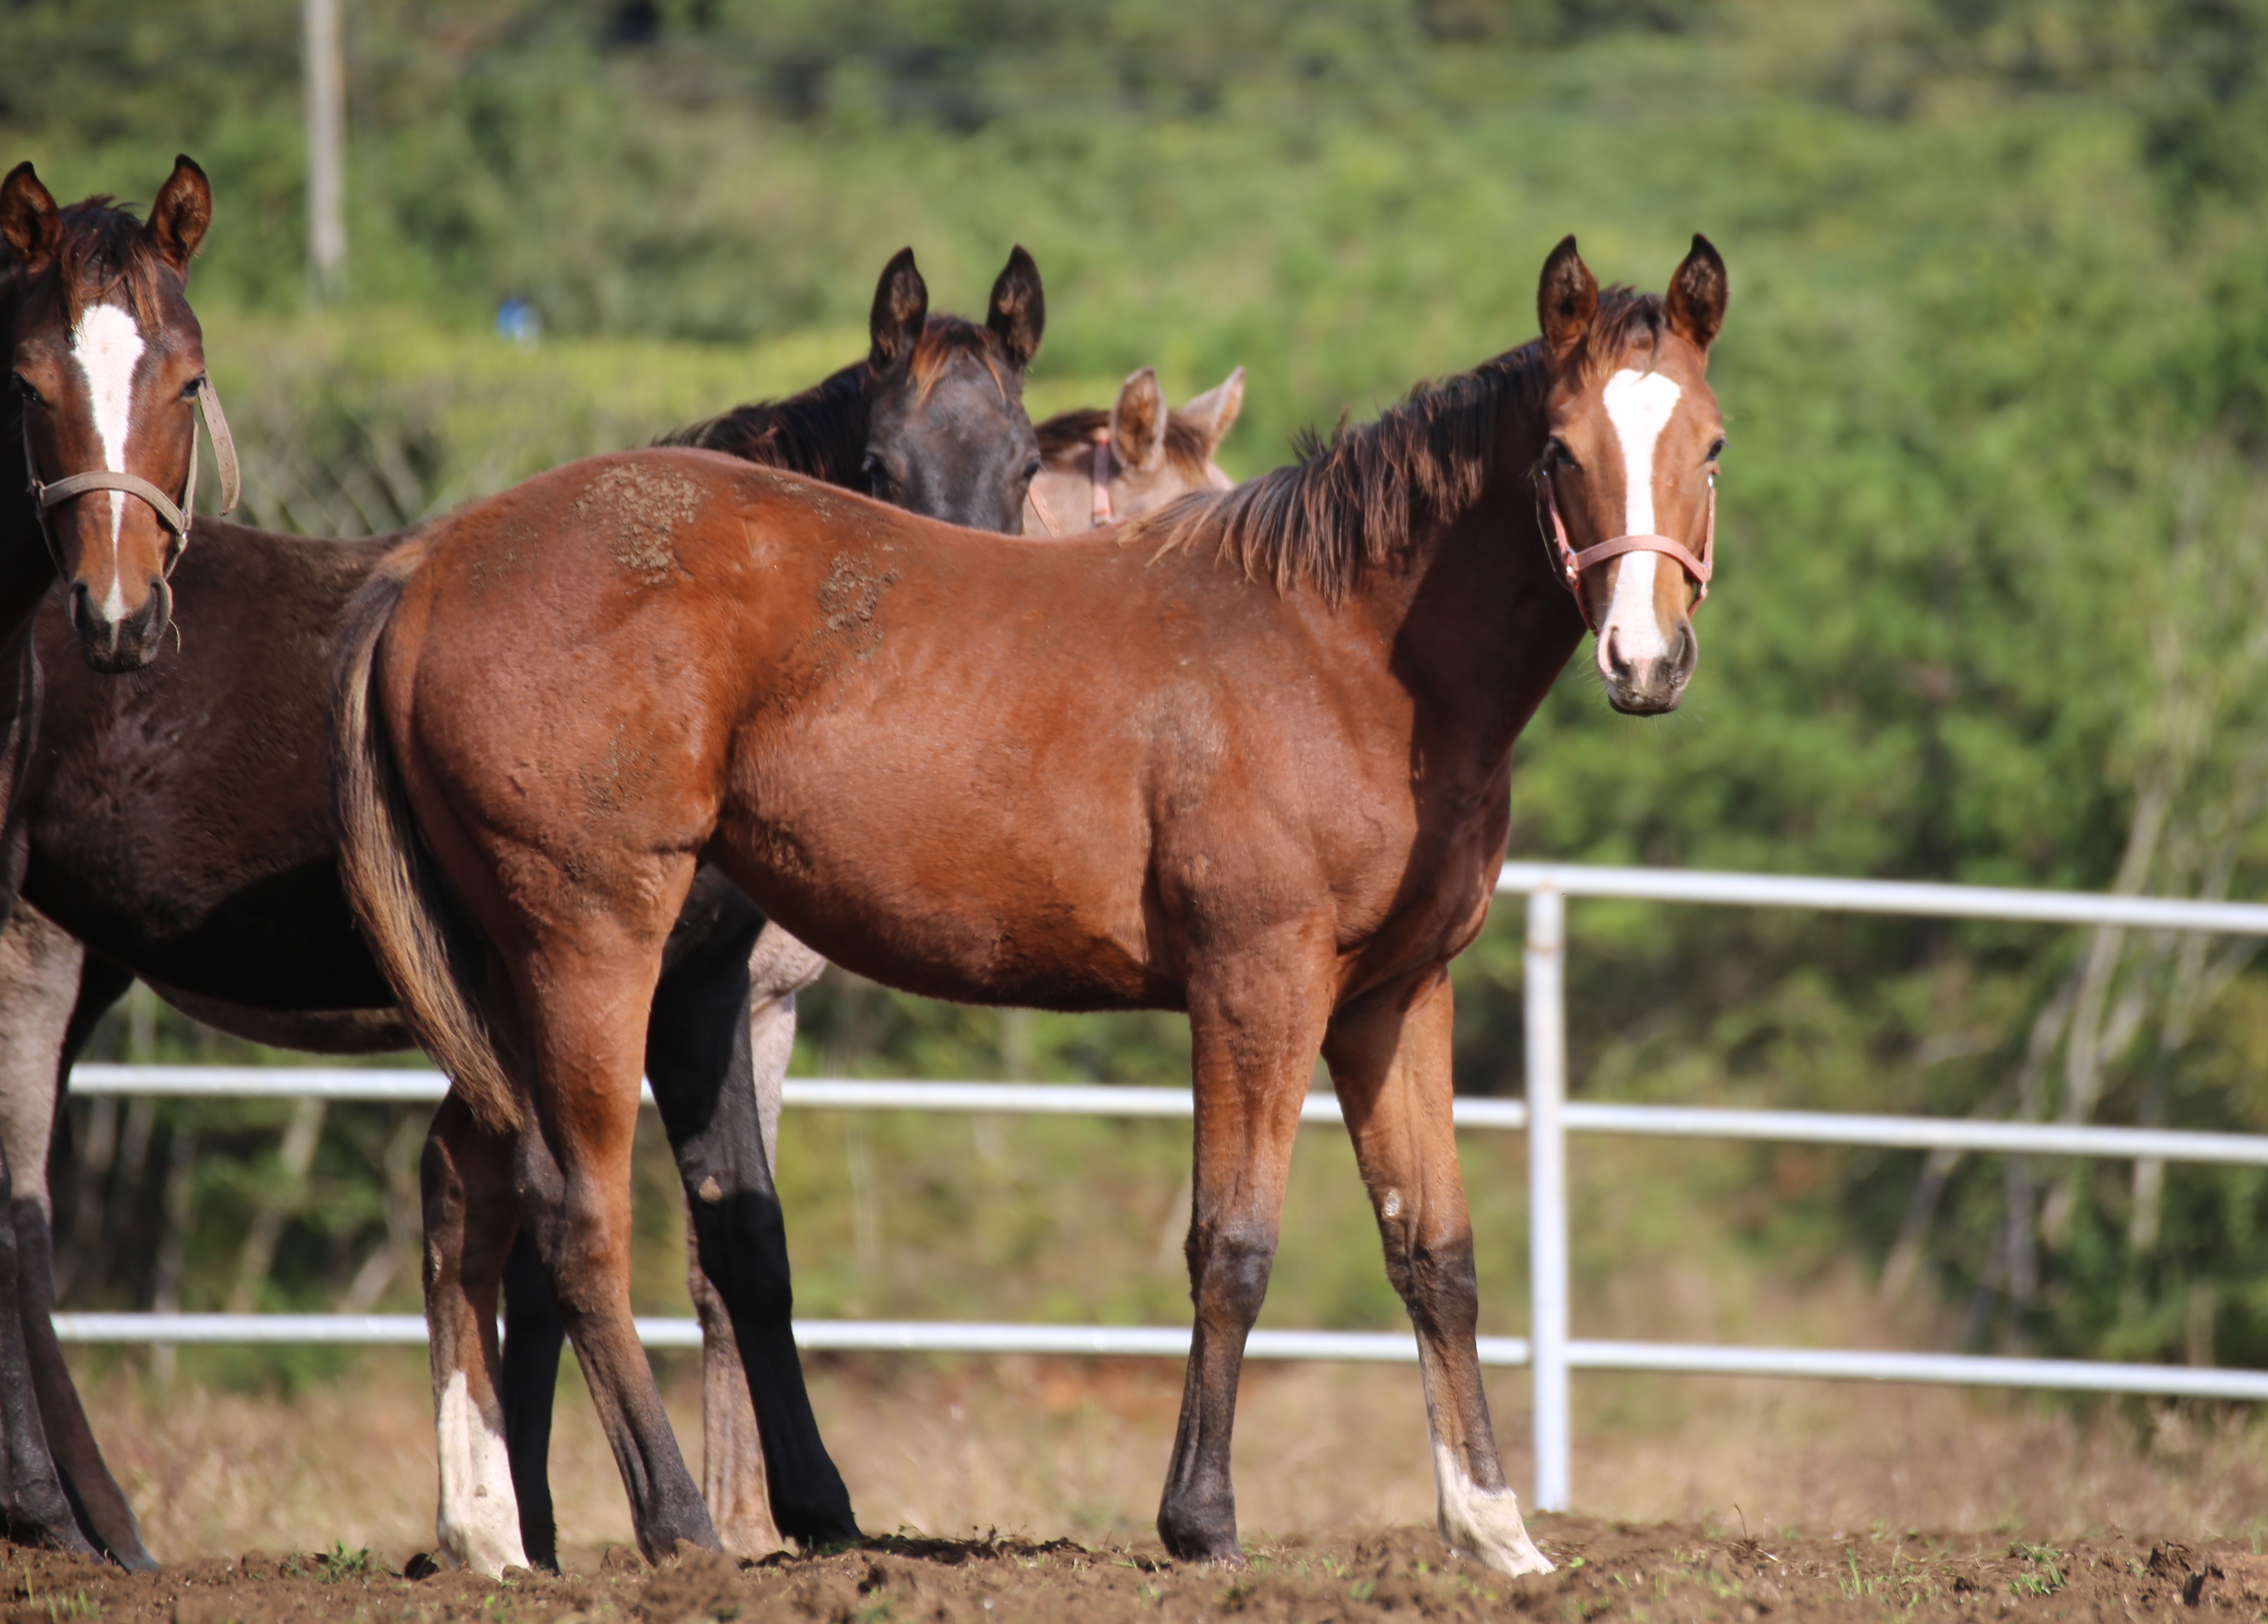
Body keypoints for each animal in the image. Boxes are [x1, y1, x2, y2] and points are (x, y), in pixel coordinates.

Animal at [329, 238, 1724, 1569]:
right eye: (1560, 449)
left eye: (1709, 443)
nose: (1646, 661)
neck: (1345, 653)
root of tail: (434, 566)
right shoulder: (1256, 983)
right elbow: (1233, 1245)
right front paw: (1202, 1522)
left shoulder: (1392, 997)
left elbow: (1435, 1255)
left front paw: (1495, 1531)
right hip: (591, 945)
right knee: (577, 1217)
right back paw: (675, 1527)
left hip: (516, 976)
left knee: (475, 1188)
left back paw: (492, 1533)